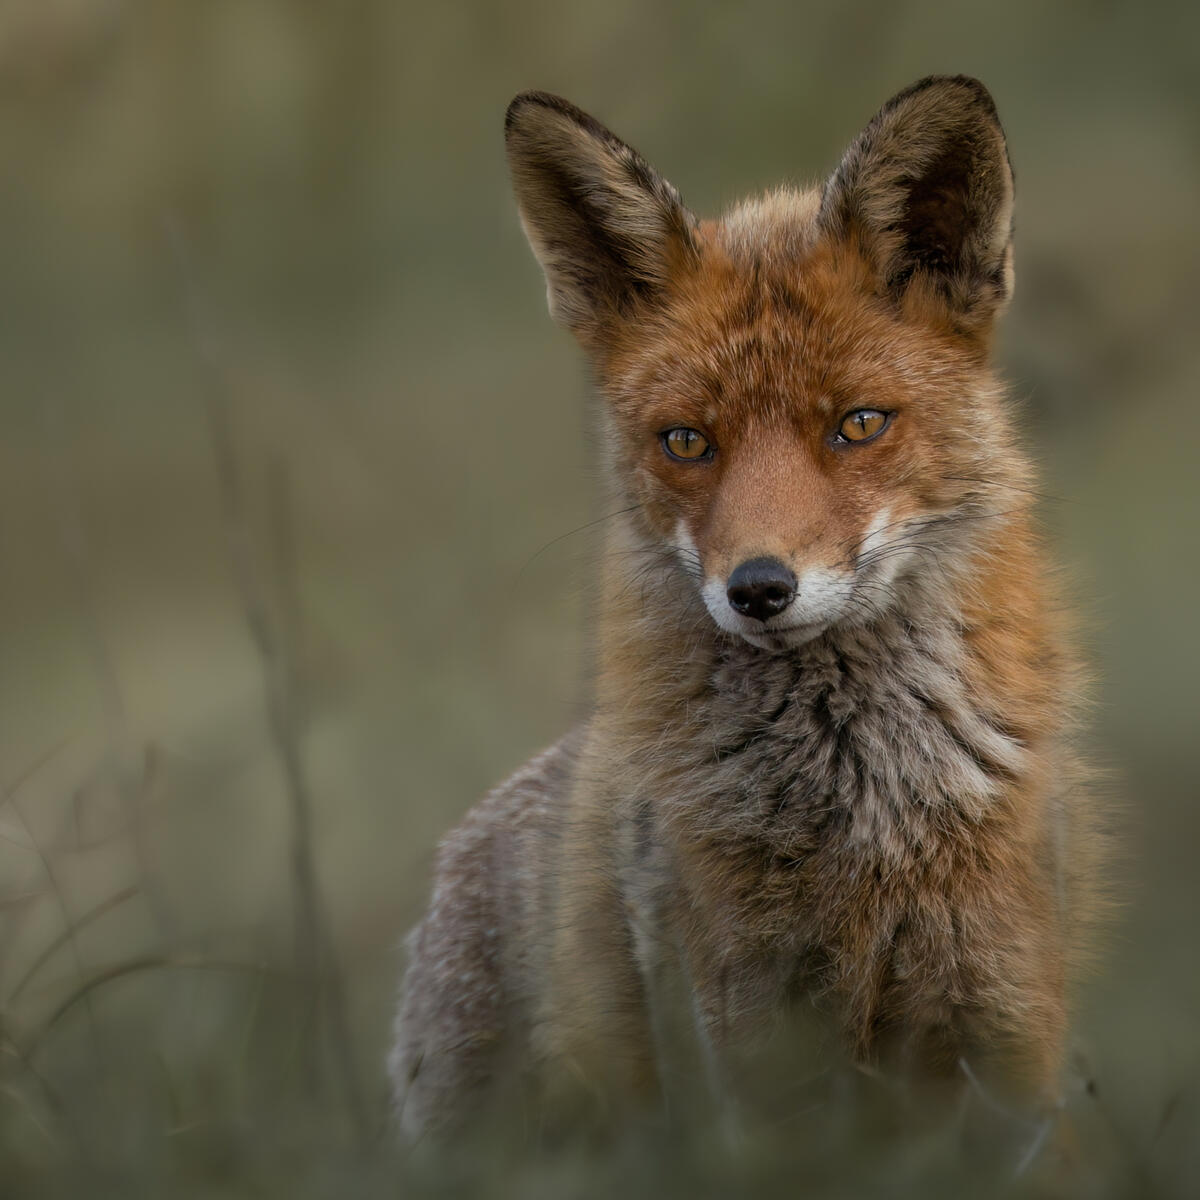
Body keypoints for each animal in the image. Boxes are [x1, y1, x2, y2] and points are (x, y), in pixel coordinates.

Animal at [391, 76, 1102, 1143]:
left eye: (858, 424)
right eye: (687, 440)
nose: (760, 589)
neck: (863, 814)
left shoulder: (1005, 1048)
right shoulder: (754, 1058)